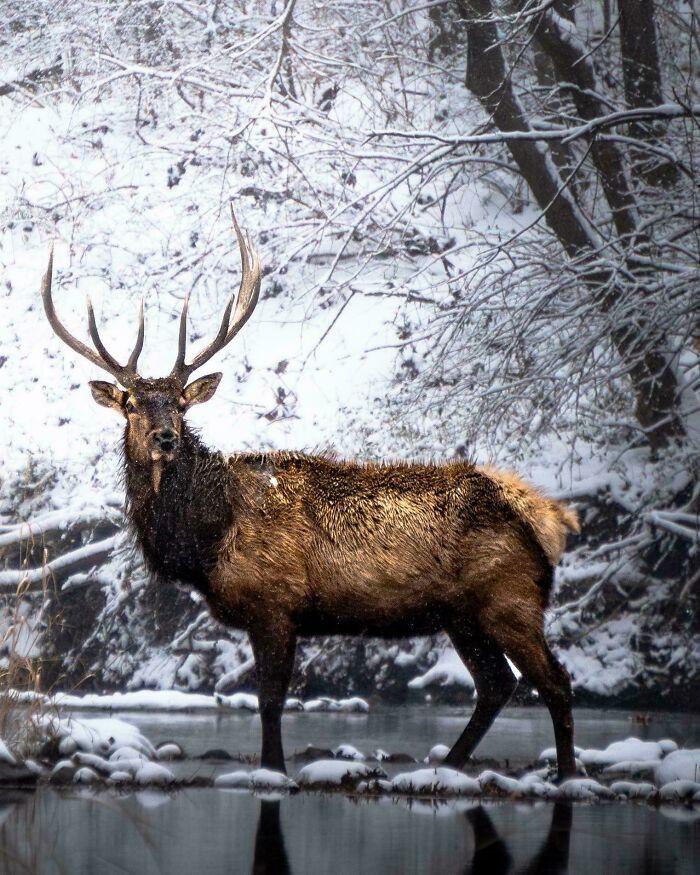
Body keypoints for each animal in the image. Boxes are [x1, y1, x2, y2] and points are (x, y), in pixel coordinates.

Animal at [41, 208, 580, 780]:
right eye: (131, 405)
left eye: (182, 404)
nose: (165, 437)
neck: (207, 540)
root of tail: (547, 521)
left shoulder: (275, 603)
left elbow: (270, 701)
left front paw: (273, 769)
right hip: (462, 614)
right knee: (497, 684)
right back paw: (452, 765)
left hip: (509, 597)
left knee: (554, 680)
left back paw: (567, 773)